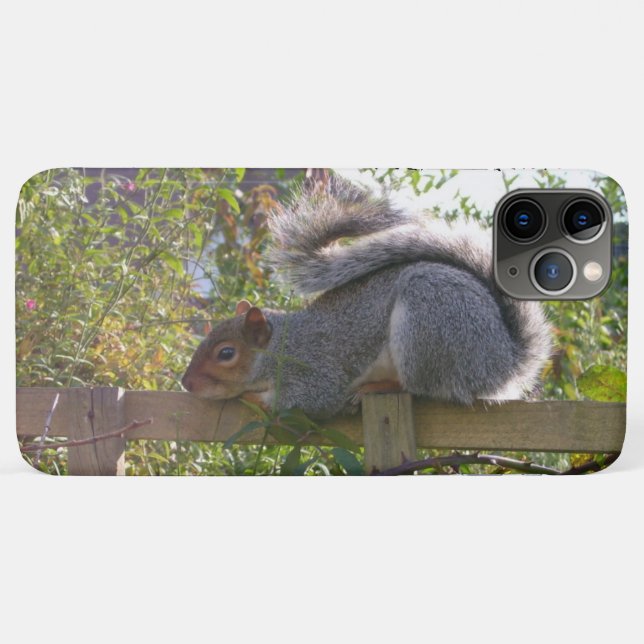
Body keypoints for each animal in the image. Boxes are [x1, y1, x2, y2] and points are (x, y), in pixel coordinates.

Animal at [181, 177, 552, 418]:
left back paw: (375, 389)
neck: (281, 347)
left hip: (427, 328)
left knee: (422, 389)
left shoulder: (315, 372)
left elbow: (307, 401)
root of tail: (504, 364)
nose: (186, 384)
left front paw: (252, 397)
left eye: (226, 353)